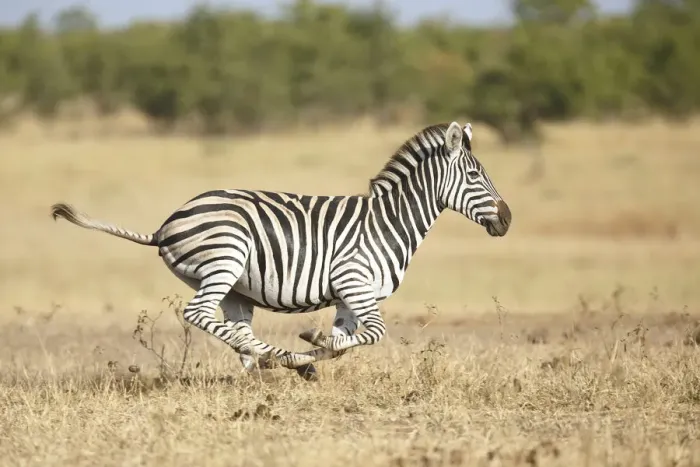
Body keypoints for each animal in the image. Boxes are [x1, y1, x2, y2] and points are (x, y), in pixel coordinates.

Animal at [50, 121, 511, 381]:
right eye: (474, 176)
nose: (507, 220)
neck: (389, 221)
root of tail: (165, 225)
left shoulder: (348, 297)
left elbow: (346, 342)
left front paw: (316, 351)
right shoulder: (355, 282)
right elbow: (371, 335)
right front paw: (311, 344)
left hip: (234, 287)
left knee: (236, 331)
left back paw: (274, 362)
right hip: (226, 258)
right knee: (199, 316)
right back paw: (283, 358)